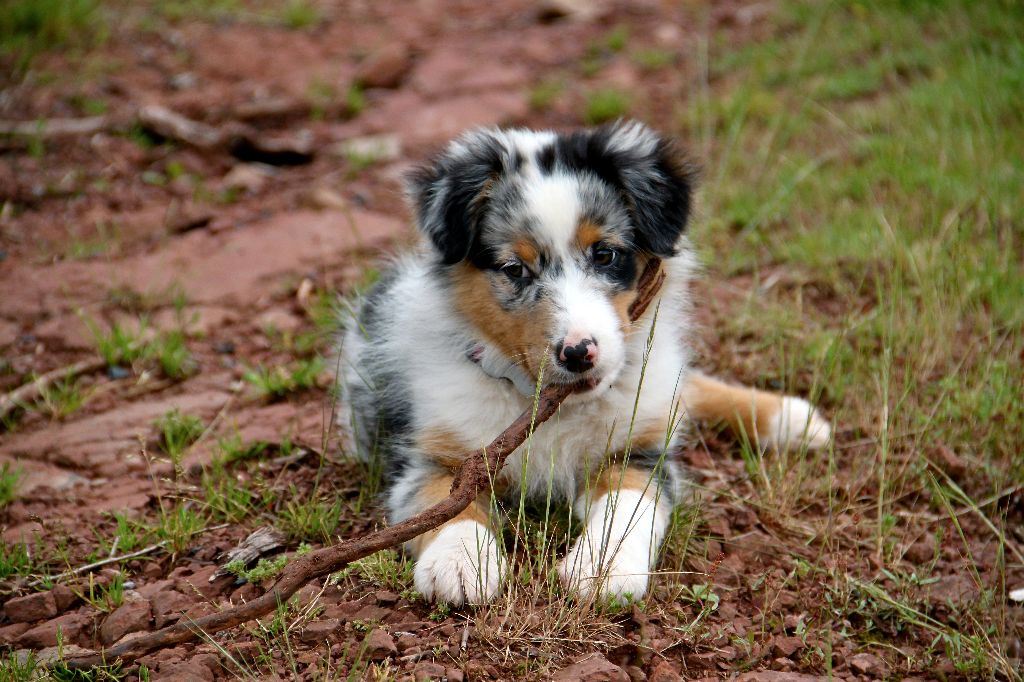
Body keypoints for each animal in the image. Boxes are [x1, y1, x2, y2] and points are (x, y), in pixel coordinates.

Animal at [338, 120, 830, 606]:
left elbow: (627, 506)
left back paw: (792, 418)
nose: (578, 354)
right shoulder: (429, 457)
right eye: (515, 269)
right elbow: (444, 504)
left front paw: (603, 568)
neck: (547, 407)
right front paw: (459, 563)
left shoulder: (637, 451)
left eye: (605, 254)